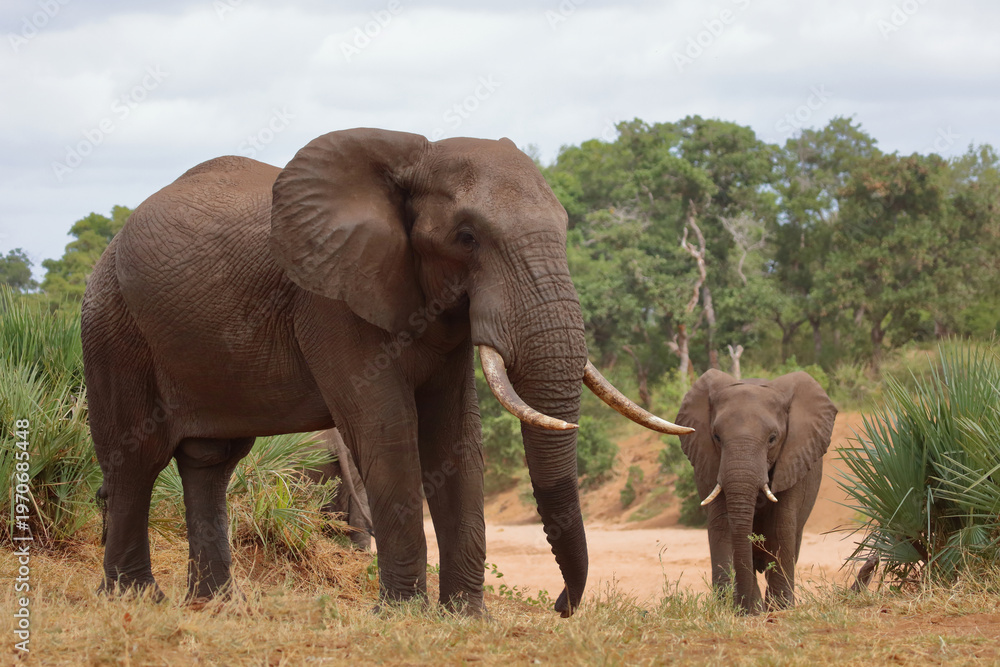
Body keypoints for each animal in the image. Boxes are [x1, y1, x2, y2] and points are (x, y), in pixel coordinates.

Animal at [81, 127, 692, 616]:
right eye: (467, 237)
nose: (562, 607)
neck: (411, 159)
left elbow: (456, 436)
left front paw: (465, 617)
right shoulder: (329, 299)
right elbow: (387, 429)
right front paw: (403, 615)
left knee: (211, 461)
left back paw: (215, 605)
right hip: (113, 325)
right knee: (135, 458)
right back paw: (135, 600)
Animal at [676, 369, 836, 614]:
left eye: (772, 438)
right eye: (716, 437)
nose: (740, 605)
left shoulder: (794, 459)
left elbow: (782, 527)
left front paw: (779, 609)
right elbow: (722, 526)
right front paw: (739, 609)